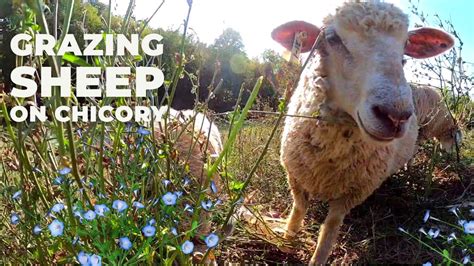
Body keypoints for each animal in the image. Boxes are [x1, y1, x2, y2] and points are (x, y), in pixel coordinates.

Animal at [272, 0, 454, 264]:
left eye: (406, 45)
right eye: (332, 38)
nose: (396, 115)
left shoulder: (354, 192)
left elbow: (330, 227)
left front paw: (318, 257)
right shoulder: (295, 174)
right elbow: (298, 208)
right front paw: (287, 238)